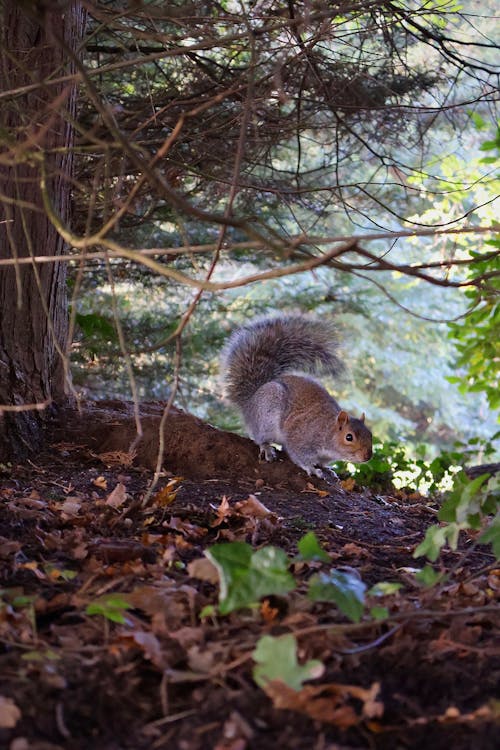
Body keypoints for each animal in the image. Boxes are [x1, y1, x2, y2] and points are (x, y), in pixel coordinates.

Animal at [222, 312, 372, 482]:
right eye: (349, 437)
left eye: (370, 434)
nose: (368, 456)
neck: (328, 431)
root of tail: (250, 401)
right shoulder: (300, 438)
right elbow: (298, 456)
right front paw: (312, 469)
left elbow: (322, 463)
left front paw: (327, 469)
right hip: (266, 415)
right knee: (260, 437)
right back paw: (267, 447)